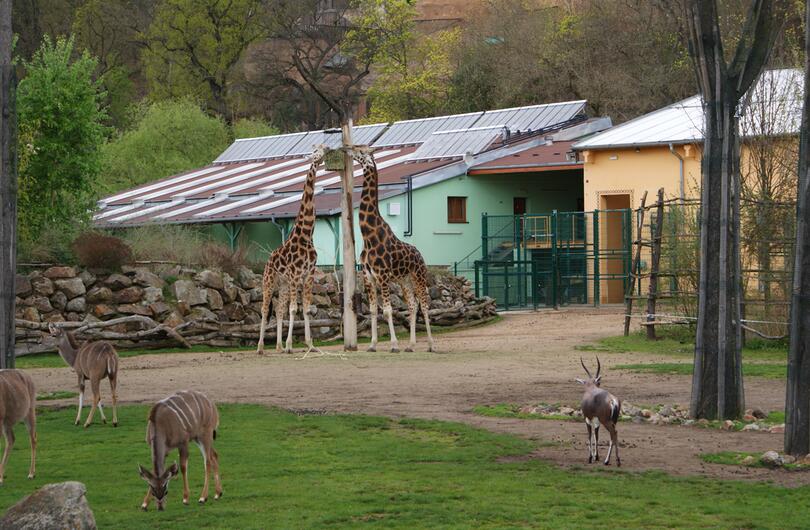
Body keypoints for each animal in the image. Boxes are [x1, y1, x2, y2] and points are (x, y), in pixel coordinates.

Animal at [256, 144, 326, 352]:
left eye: (323, 148)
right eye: (315, 151)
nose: (322, 154)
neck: (306, 235)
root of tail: (268, 260)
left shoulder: (308, 274)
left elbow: (306, 309)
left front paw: (310, 345)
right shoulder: (296, 275)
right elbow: (294, 309)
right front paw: (290, 345)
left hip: (284, 285)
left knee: (279, 310)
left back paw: (278, 347)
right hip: (269, 281)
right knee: (265, 309)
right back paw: (261, 347)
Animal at [350, 145, 432, 350]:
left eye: (361, 150)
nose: (347, 148)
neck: (368, 236)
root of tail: (421, 255)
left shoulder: (383, 276)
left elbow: (387, 310)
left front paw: (394, 345)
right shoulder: (368, 276)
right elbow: (373, 310)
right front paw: (372, 345)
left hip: (418, 276)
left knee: (424, 304)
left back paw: (430, 345)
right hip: (404, 281)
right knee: (412, 305)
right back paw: (410, 346)